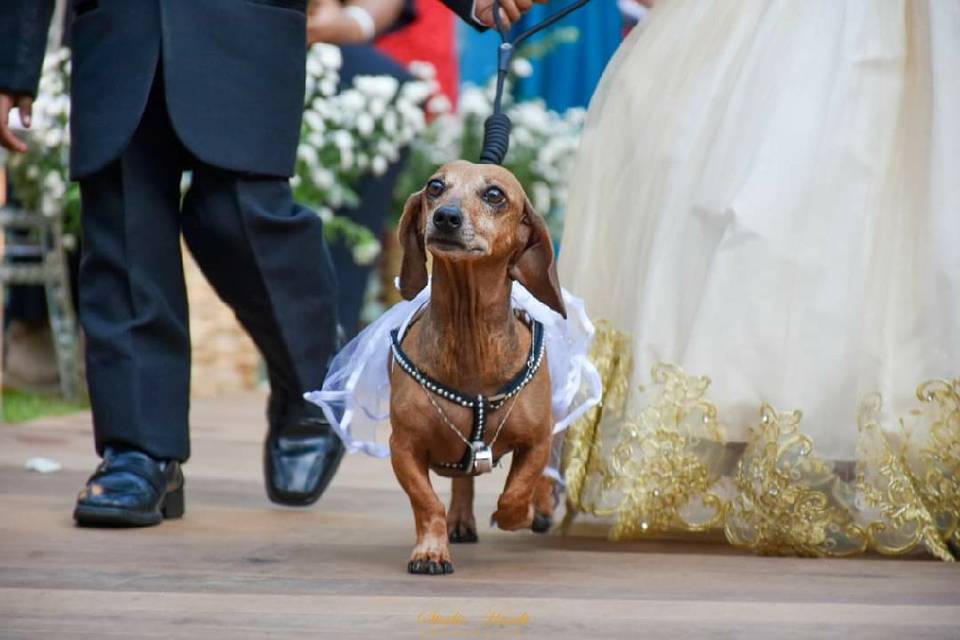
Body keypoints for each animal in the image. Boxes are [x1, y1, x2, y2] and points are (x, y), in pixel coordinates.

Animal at [388, 159, 568, 576]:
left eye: (494, 194)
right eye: (435, 186)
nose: (446, 217)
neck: (470, 342)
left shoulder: (537, 440)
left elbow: (517, 492)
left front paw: (519, 514)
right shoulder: (402, 447)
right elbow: (427, 503)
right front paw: (430, 551)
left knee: (546, 475)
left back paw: (541, 508)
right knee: (461, 482)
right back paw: (460, 520)